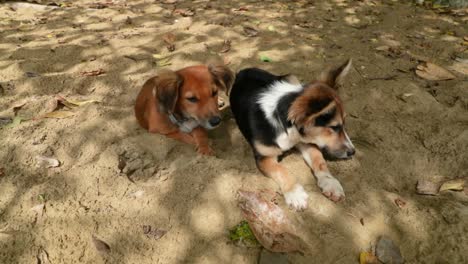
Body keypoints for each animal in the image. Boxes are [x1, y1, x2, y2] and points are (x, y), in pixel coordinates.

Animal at [229, 59, 354, 210]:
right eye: (334, 127)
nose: (353, 152)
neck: (286, 127)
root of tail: (242, 71)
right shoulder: (264, 157)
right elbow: (282, 170)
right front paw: (295, 193)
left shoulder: (306, 142)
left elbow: (319, 160)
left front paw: (330, 182)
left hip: (290, 78)